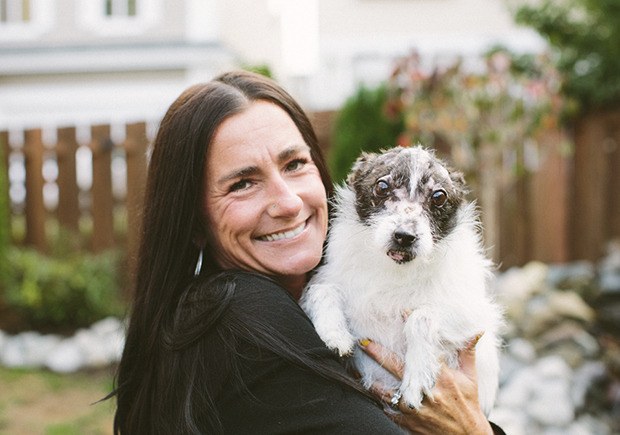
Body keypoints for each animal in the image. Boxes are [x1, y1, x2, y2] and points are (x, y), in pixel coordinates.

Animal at [302, 146, 504, 416]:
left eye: (439, 196)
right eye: (382, 186)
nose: (404, 237)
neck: (397, 271)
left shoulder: (471, 315)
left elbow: (421, 316)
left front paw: (416, 378)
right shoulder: (330, 280)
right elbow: (321, 289)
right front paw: (334, 334)